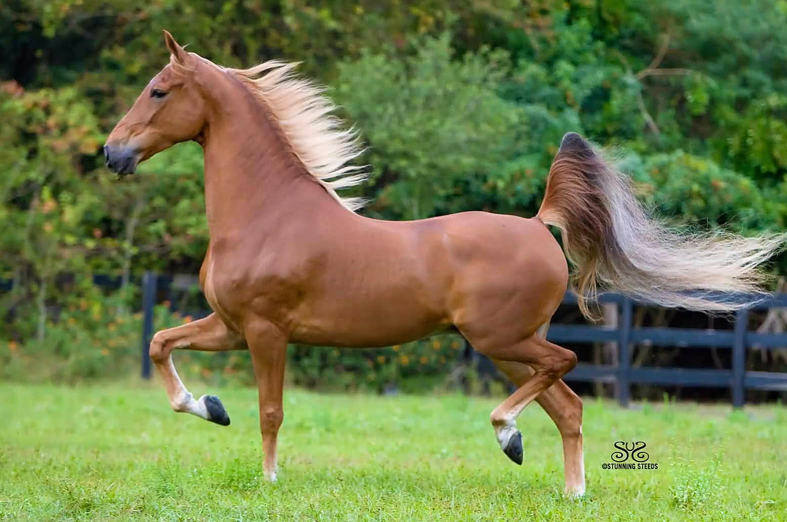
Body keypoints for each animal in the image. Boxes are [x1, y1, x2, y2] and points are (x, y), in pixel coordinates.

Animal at [106, 30, 787, 494]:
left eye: (159, 91)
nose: (113, 154)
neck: (266, 214)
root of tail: (539, 223)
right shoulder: (229, 326)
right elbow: (161, 345)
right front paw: (210, 407)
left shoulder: (266, 331)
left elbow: (270, 411)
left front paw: (270, 481)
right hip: (508, 347)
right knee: (568, 406)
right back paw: (568, 488)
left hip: (500, 339)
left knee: (563, 368)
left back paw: (507, 432)